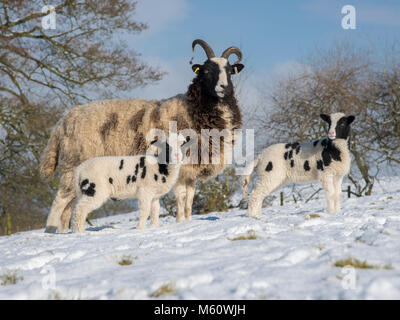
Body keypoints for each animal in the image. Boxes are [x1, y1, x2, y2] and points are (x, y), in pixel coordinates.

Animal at [39, 39, 244, 232]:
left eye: (229, 71)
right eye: (207, 71)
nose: (223, 87)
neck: (192, 109)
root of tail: (63, 121)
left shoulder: (191, 170)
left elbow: (190, 200)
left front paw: (187, 221)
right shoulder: (181, 169)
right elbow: (181, 198)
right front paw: (180, 222)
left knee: (68, 209)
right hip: (72, 165)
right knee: (59, 203)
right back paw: (51, 232)